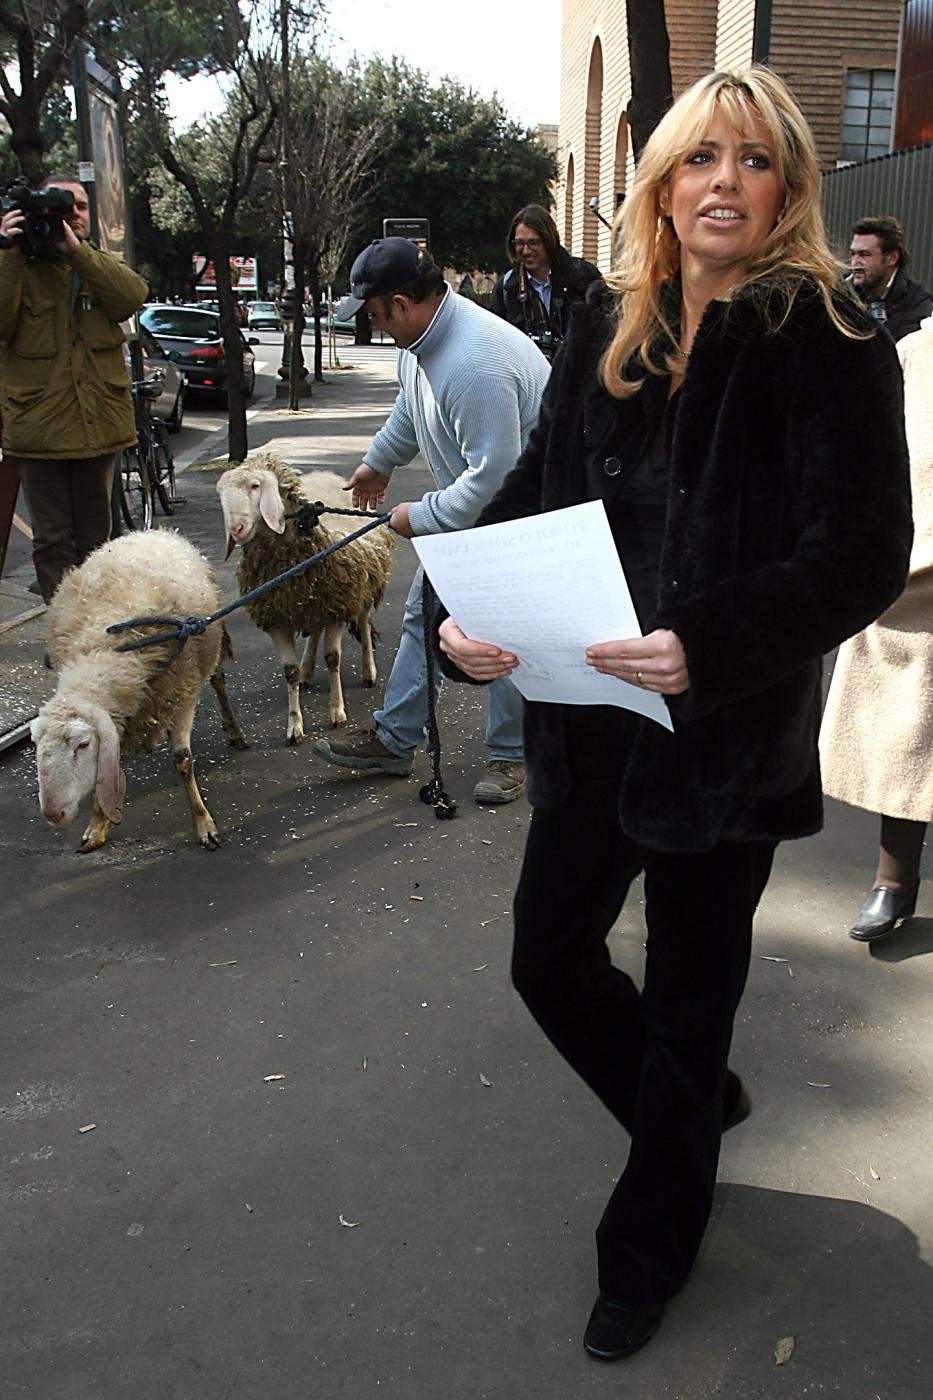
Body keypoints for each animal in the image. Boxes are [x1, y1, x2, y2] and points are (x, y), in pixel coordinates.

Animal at [32, 526, 245, 845]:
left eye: (82, 744)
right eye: (35, 743)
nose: (52, 814)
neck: (104, 648)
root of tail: (151, 530)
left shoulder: (183, 691)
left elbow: (183, 760)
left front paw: (203, 823)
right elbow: (109, 769)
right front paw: (97, 825)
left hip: (209, 641)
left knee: (218, 680)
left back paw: (234, 731)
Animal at [215, 456, 389, 744]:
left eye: (255, 486)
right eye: (221, 495)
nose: (236, 529)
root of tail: (324, 473)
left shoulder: (336, 605)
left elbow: (332, 658)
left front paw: (337, 712)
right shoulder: (277, 618)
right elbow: (289, 671)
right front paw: (294, 725)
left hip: (362, 584)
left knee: (364, 622)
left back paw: (368, 670)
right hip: (311, 603)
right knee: (314, 631)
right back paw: (307, 670)